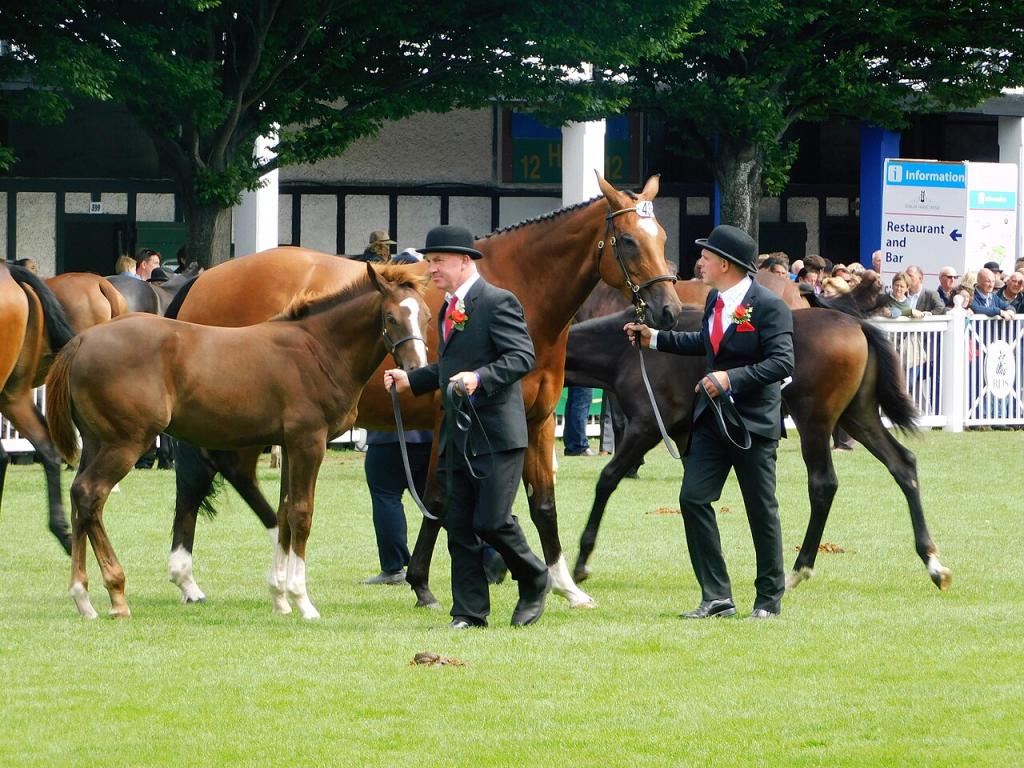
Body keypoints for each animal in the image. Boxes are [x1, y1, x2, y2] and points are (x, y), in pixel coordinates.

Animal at [45, 264, 430, 619]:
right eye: (392, 317)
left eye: (425, 316)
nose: (415, 370)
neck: (317, 349)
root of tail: (81, 341)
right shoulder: (309, 442)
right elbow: (301, 514)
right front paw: (302, 600)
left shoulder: (289, 445)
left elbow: (284, 512)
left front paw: (280, 598)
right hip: (126, 442)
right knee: (91, 494)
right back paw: (116, 594)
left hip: (96, 442)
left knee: (80, 498)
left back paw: (83, 597)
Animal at [161, 174, 683, 609]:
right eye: (629, 240)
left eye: (663, 238)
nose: (669, 310)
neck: (518, 291)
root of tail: (205, 278)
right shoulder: (447, 419)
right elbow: (438, 500)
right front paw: (423, 584)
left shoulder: (533, 423)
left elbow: (542, 503)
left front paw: (564, 584)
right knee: (200, 475)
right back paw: (194, 574)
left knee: (233, 473)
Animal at [565, 297, 953, 593]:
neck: (627, 354)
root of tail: (856, 325)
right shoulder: (687, 437)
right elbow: (694, 494)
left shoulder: (646, 427)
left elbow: (608, 479)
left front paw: (582, 561)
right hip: (859, 416)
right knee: (902, 464)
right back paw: (933, 562)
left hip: (816, 422)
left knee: (824, 484)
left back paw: (798, 569)